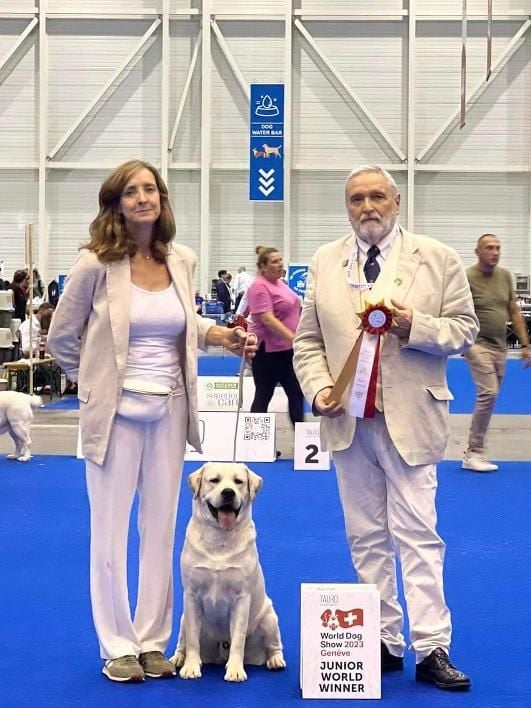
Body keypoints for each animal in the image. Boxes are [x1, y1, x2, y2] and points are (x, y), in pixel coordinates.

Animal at [171, 462, 286, 684]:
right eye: (214, 480)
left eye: (238, 482)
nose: (228, 493)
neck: (219, 538)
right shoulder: (191, 595)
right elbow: (192, 639)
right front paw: (191, 667)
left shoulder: (242, 598)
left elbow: (238, 639)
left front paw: (235, 671)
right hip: (182, 618)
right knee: (183, 641)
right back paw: (177, 659)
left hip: (269, 618)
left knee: (274, 645)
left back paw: (275, 661)